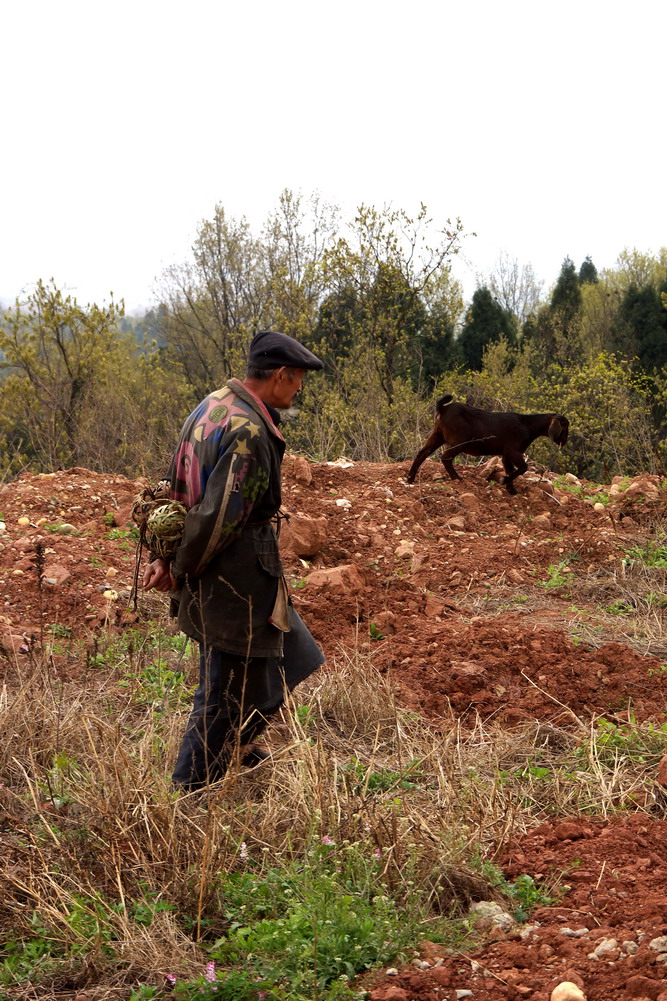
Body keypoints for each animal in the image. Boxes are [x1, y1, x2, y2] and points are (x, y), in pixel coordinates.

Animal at [404, 394, 564, 496]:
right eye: (565, 426)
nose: (564, 441)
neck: (528, 425)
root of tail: (443, 408)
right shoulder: (513, 450)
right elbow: (523, 468)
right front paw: (504, 481)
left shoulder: (506, 454)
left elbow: (510, 469)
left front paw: (512, 490)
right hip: (460, 441)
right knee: (446, 457)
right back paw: (457, 478)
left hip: (437, 435)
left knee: (422, 453)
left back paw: (410, 479)